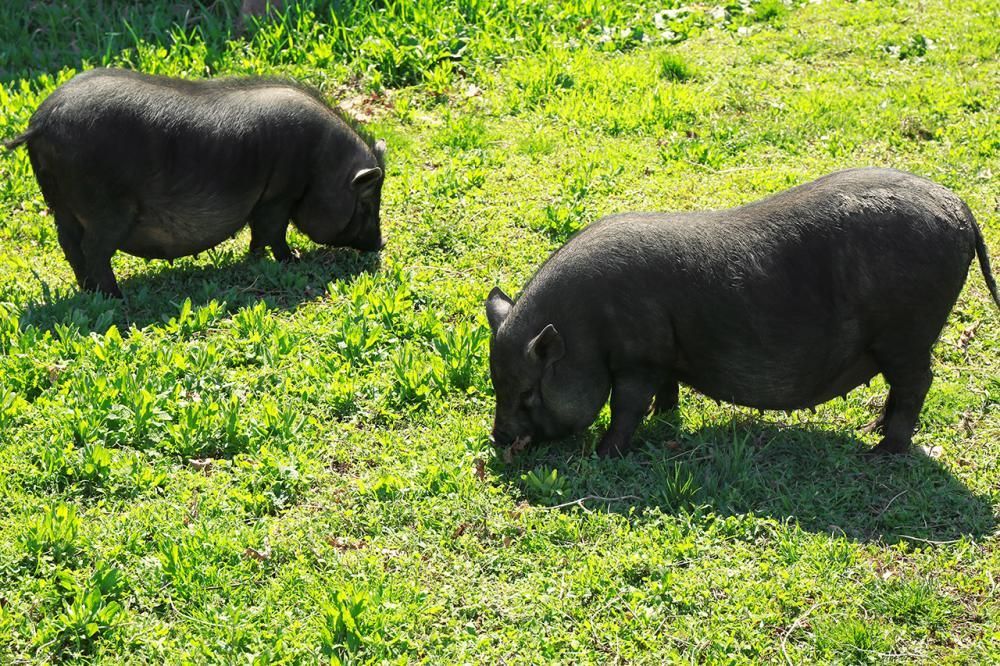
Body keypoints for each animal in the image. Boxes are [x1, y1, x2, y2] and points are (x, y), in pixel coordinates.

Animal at [2, 68, 386, 297]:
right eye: (368, 201)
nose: (380, 244)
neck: (321, 163)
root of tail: (40, 122)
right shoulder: (278, 195)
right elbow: (272, 232)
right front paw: (291, 260)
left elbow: (259, 235)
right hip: (106, 208)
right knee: (94, 249)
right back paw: (116, 296)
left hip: (60, 206)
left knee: (70, 246)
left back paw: (90, 292)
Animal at [486, 168, 1000, 458]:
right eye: (498, 384)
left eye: (529, 391)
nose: (498, 439)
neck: (586, 332)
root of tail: (959, 207)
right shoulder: (664, 356)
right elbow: (666, 393)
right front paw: (664, 418)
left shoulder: (639, 358)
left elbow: (625, 406)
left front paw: (604, 453)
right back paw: (871, 429)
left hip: (907, 335)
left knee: (917, 384)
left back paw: (881, 453)